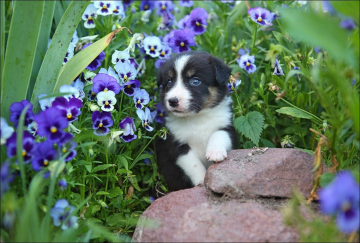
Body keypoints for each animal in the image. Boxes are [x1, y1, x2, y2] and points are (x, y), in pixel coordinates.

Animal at [155, 51, 238, 192]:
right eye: (169, 82)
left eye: (195, 81)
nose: (172, 101)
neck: (197, 117)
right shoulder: (176, 145)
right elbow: (193, 164)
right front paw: (202, 180)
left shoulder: (227, 127)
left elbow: (219, 134)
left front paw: (215, 152)